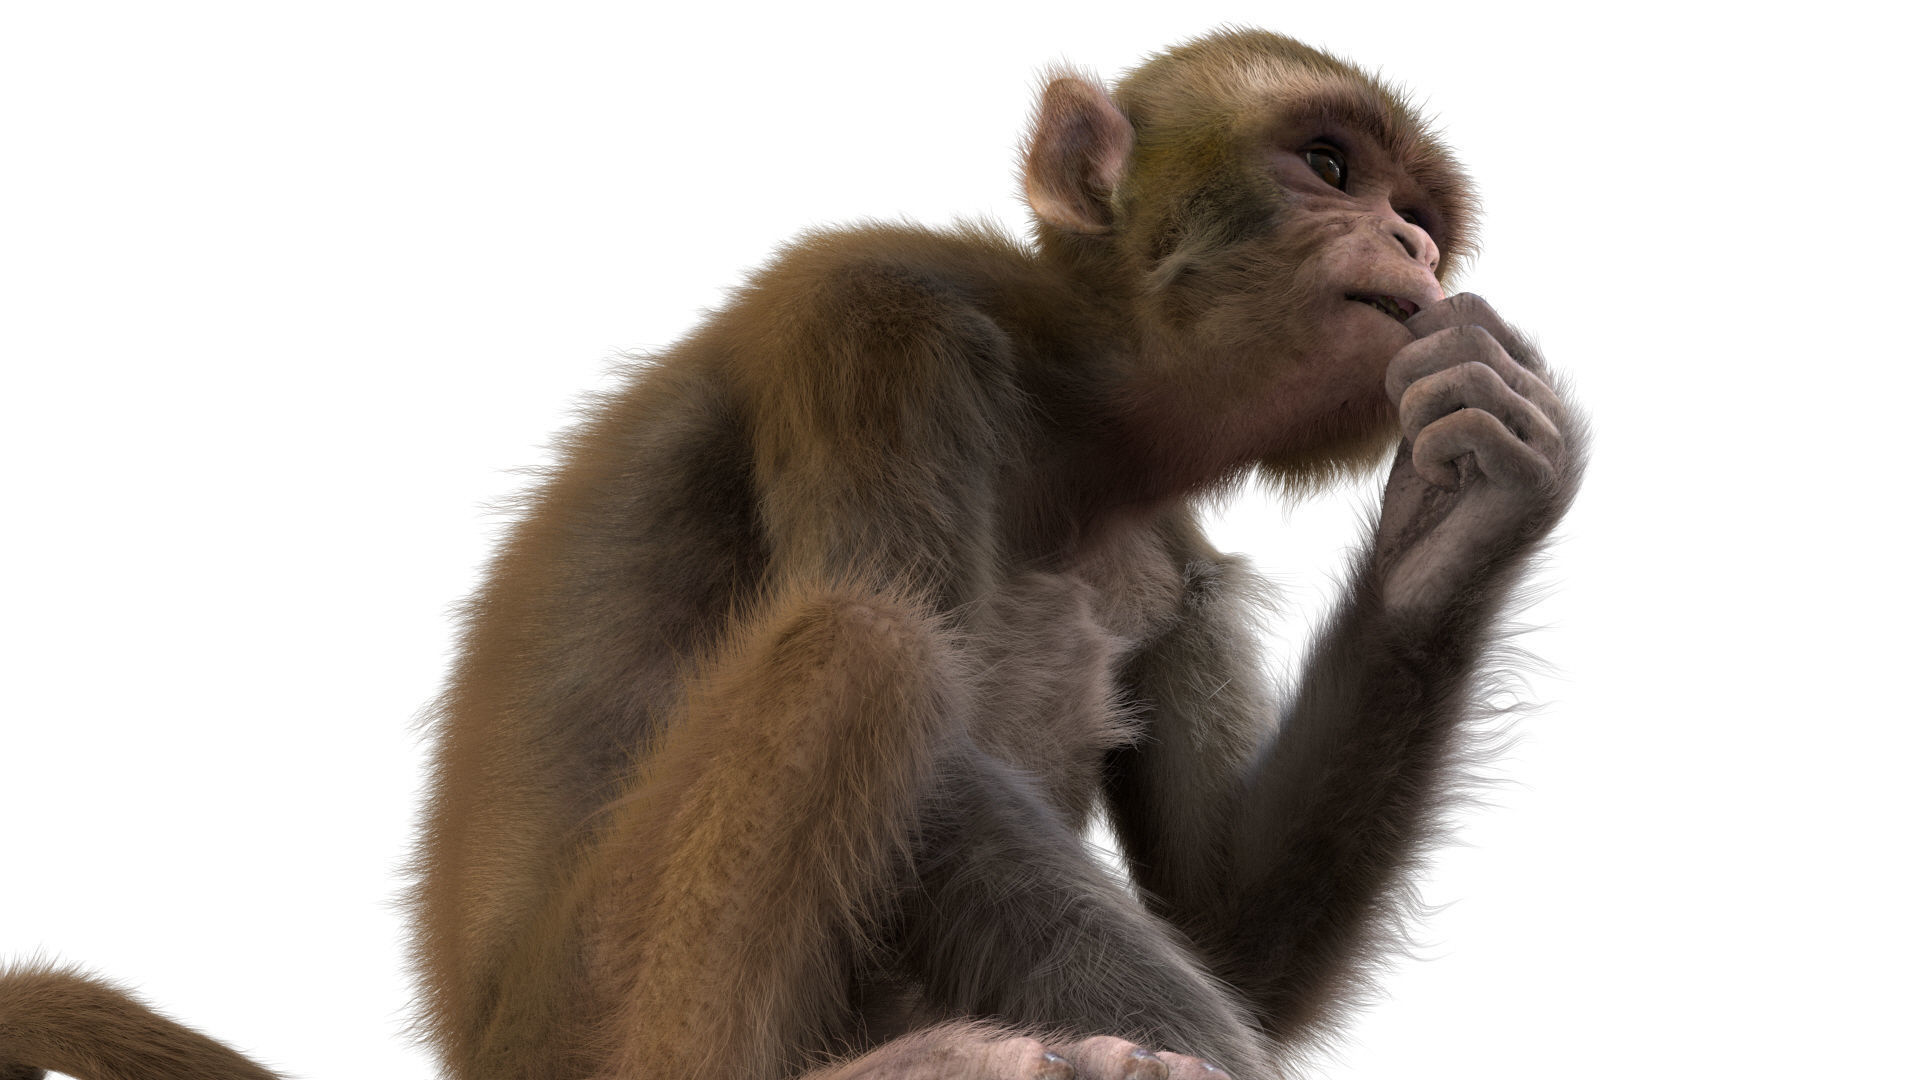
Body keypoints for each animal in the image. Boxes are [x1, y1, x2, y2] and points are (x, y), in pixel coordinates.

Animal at [0, 27, 1583, 1080]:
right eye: (1326, 164)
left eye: (1420, 215)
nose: (1408, 247)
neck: (1078, 414)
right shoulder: (881, 325)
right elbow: (931, 739)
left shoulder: (1171, 549)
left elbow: (1227, 913)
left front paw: (1463, 512)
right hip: (578, 1027)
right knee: (865, 646)